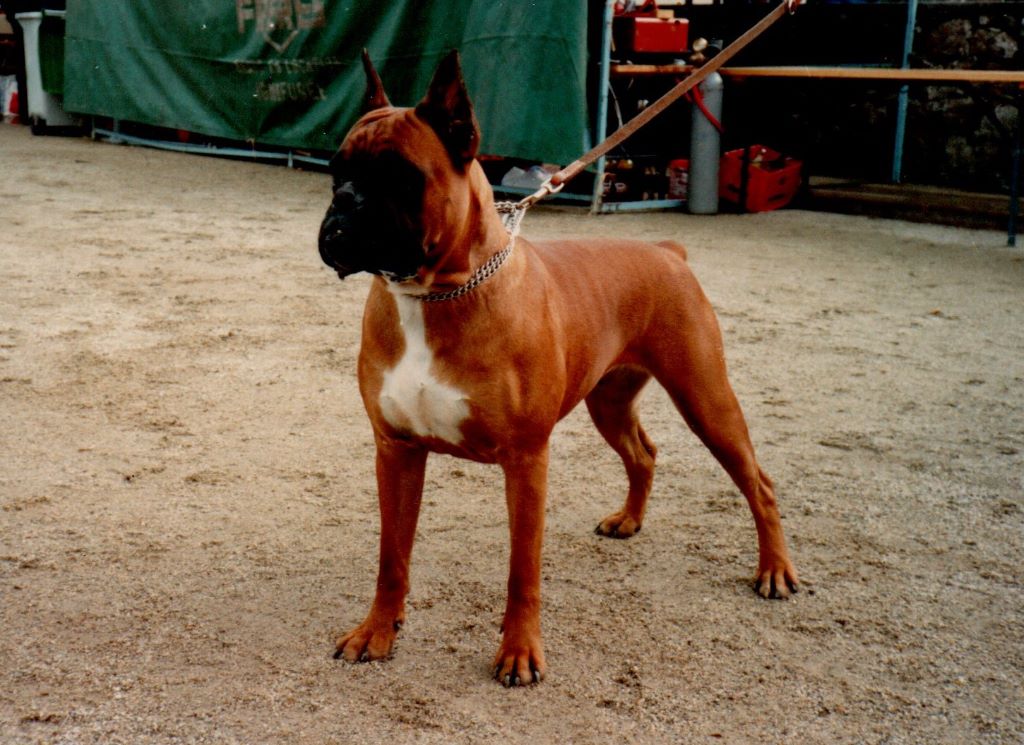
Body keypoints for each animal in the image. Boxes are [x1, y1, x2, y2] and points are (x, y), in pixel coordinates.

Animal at [315, 50, 794, 687]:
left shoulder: (525, 461)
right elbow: (392, 556)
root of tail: (667, 251)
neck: (433, 296)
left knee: (758, 483)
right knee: (644, 453)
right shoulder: (396, 450)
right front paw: (377, 631)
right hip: (609, 402)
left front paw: (519, 651)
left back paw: (775, 570)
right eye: (335, 171)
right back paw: (628, 520)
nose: (344, 204)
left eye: (400, 176)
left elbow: (522, 571)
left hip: (706, 399)